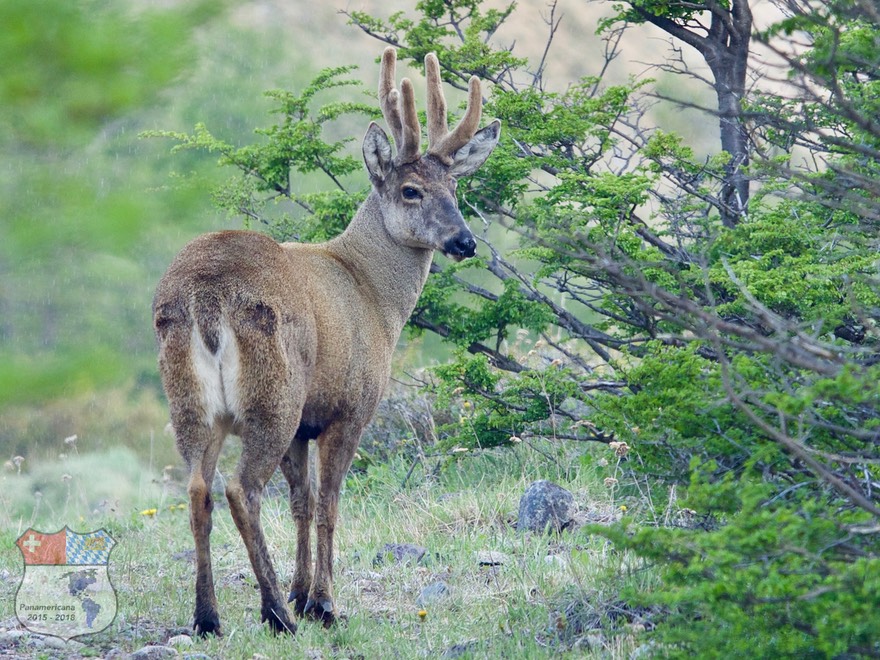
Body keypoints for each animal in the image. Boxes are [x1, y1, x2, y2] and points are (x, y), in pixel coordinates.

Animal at [149, 45, 498, 636]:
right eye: (410, 190)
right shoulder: (348, 408)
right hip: (274, 395)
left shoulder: (304, 427)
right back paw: (272, 613)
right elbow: (330, 501)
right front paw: (322, 603)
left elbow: (302, 501)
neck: (372, 293)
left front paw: (301, 591)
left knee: (198, 490)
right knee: (241, 488)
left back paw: (209, 617)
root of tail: (206, 296)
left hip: (191, 402)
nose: (464, 241)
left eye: (455, 189)